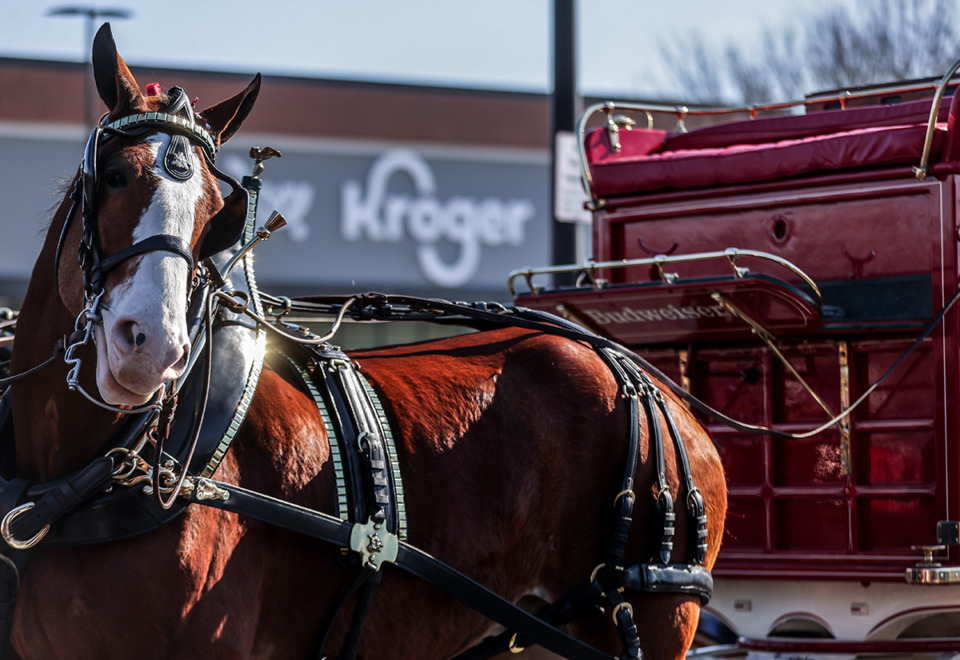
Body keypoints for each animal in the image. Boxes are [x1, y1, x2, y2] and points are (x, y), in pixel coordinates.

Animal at [0, 23, 720, 656]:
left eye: (215, 214)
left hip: (646, 615)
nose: (151, 345)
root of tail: (650, 385)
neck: (83, 473)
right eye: (114, 176)